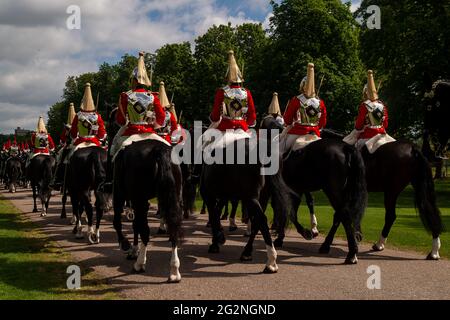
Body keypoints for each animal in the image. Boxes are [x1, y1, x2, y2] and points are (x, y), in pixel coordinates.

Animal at [112, 140, 183, 282]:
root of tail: (159, 149)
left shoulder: (120, 194)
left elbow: (118, 222)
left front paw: (127, 245)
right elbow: (135, 225)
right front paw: (133, 250)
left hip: (137, 199)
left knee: (144, 230)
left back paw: (139, 264)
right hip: (173, 197)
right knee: (173, 228)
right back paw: (174, 270)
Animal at [260, 116, 370, 264]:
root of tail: (346, 147)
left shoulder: (289, 189)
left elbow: (289, 211)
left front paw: (302, 233)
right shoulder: (297, 189)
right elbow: (291, 210)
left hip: (332, 191)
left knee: (344, 215)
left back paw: (351, 253)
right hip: (343, 192)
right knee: (342, 214)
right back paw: (330, 245)